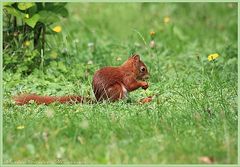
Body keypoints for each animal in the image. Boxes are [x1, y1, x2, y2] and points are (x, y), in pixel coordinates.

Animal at [13, 54, 148, 105]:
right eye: (143, 69)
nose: (148, 76)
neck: (129, 69)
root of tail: (99, 100)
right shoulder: (127, 76)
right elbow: (130, 85)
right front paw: (144, 83)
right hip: (116, 89)